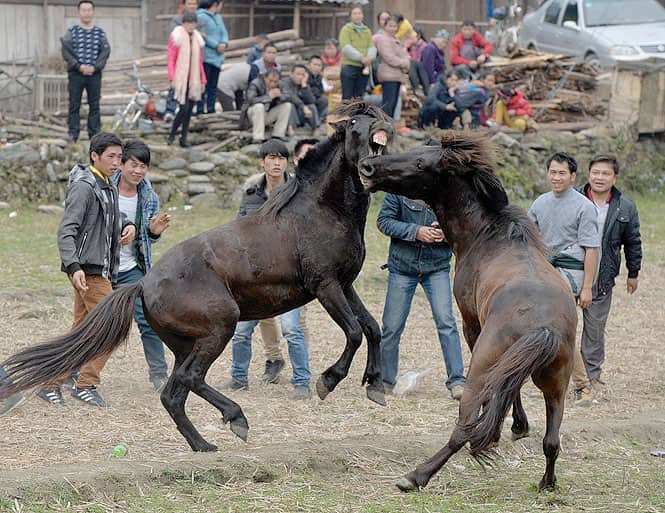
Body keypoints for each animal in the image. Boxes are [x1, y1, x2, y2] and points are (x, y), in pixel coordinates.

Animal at [0, 101, 394, 452]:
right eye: (354, 124)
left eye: (380, 118)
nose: (379, 134)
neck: (324, 209)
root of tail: (144, 283)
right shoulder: (325, 284)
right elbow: (354, 332)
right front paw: (328, 380)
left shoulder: (345, 284)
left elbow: (373, 328)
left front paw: (375, 386)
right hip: (220, 326)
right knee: (189, 379)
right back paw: (236, 419)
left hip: (187, 344)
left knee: (173, 393)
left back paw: (203, 443)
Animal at [359, 132, 577, 492]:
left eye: (421, 163)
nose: (368, 166)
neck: (488, 235)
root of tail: (542, 327)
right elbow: (510, 389)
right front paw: (518, 427)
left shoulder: (471, 326)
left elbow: (500, 393)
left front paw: (514, 425)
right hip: (557, 386)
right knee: (552, 440)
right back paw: (547, 483)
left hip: (484, 366)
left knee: (464, 427)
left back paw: (416, 476)